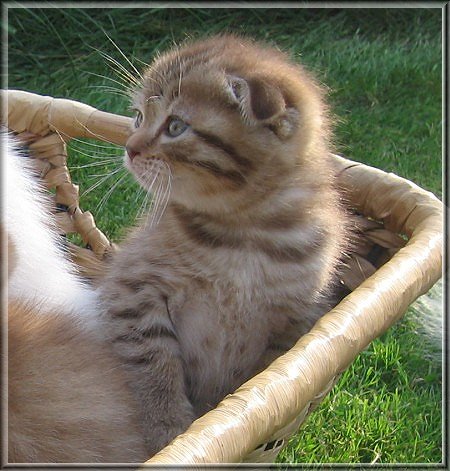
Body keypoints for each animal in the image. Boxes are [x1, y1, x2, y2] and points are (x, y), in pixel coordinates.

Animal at [98, 34, 348, 458]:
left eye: (176, 126)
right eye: (137, 117)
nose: (129, 147)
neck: (243, 235)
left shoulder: (294, 320)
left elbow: (267, 375)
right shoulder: (135, 287)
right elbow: (153, 359)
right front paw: (170, 430)